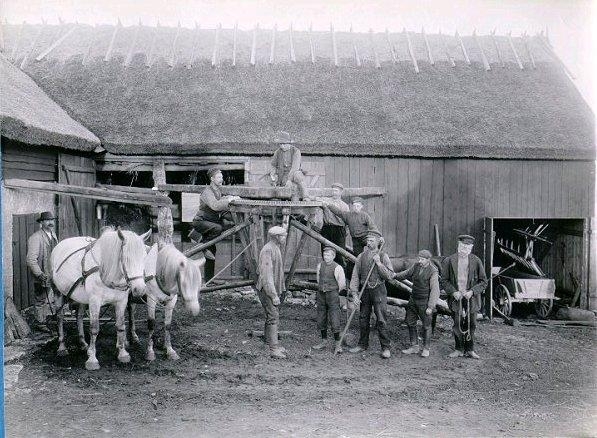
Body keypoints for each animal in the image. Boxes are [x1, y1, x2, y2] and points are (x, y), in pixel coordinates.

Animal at [50, 229, 149, 370]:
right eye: (126, 258)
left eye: (145, 258)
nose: (139, 289)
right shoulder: (95, 302)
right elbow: (94, 329)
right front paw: (92, 359)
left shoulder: (121, 302)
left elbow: (120, 326)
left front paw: (123, 353)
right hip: (58, 293)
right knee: (59, 318)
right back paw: (62, 347)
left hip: (81, 297)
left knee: (79, 316)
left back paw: (83, 343)